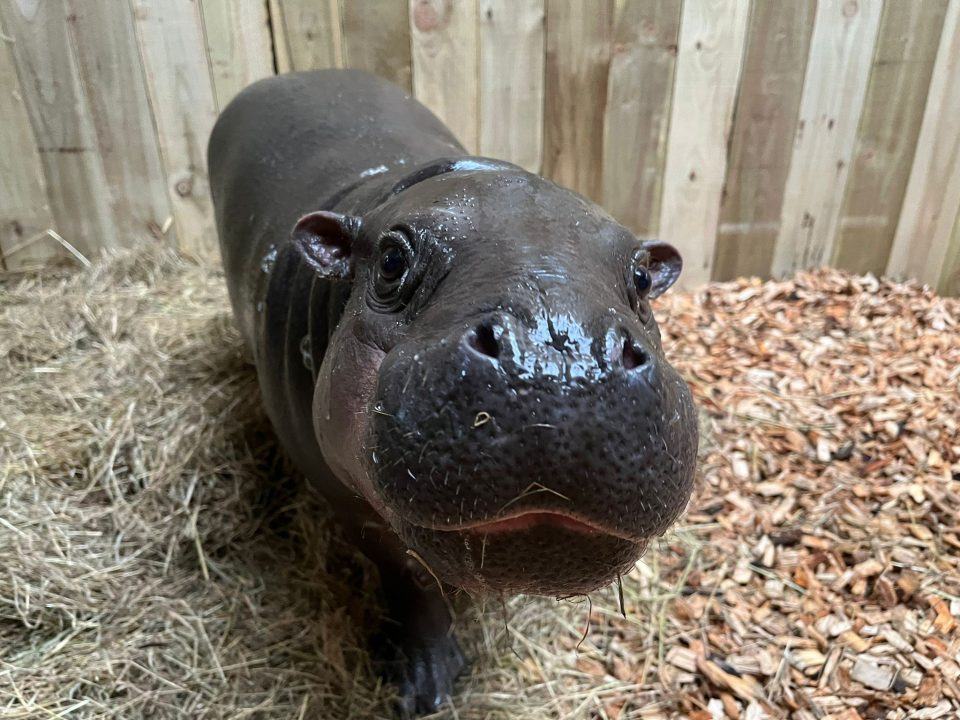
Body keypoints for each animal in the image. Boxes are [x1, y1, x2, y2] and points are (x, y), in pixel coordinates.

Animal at [208, 69, 697, 715]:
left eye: (641, 276)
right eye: (391, 260)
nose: (558, 356)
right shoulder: (348, 503)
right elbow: (408, 578)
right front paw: (426, 685)